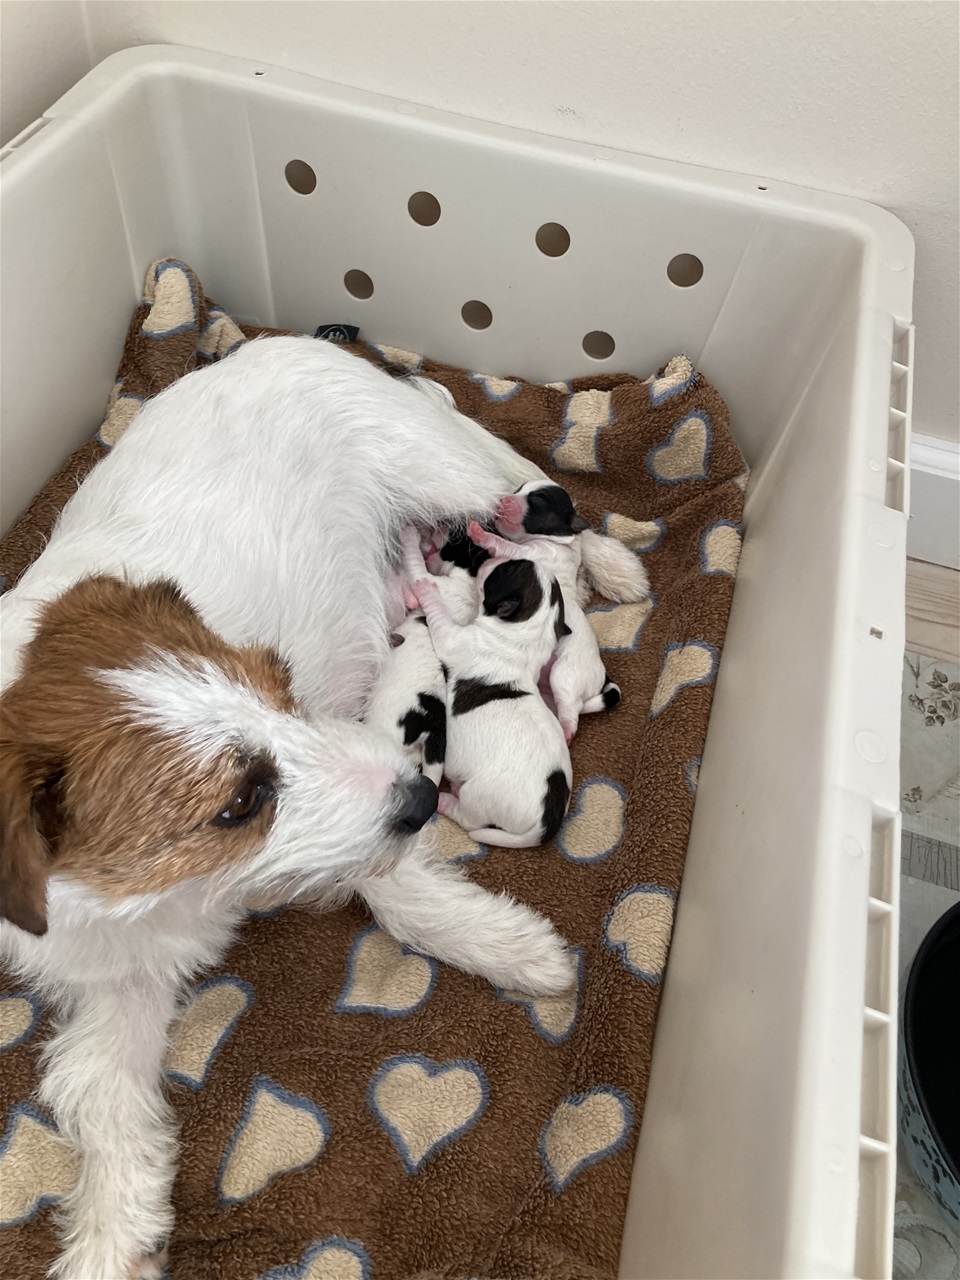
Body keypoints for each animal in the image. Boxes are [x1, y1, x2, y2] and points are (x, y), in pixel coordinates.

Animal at [412, 550, 573, 848]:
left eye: (508, 567)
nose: (490, 558)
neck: (526, 636)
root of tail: (545, 825)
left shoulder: (453, 637)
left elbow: (438, 614)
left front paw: (427, 589)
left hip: (477, 796)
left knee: (468, 818)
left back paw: (446, 800)